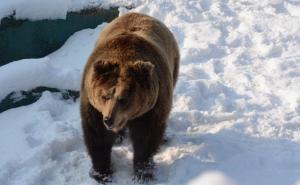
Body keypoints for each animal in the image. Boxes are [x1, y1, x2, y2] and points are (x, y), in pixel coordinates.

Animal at [79, 11, 178, 184]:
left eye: (124, 99)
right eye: (104, 96)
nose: (109, 119)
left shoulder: (151, 108)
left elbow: (146, 138)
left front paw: (143, 173)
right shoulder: (93, 107)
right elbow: (97, 137)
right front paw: (102, 173)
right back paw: (118, 137)